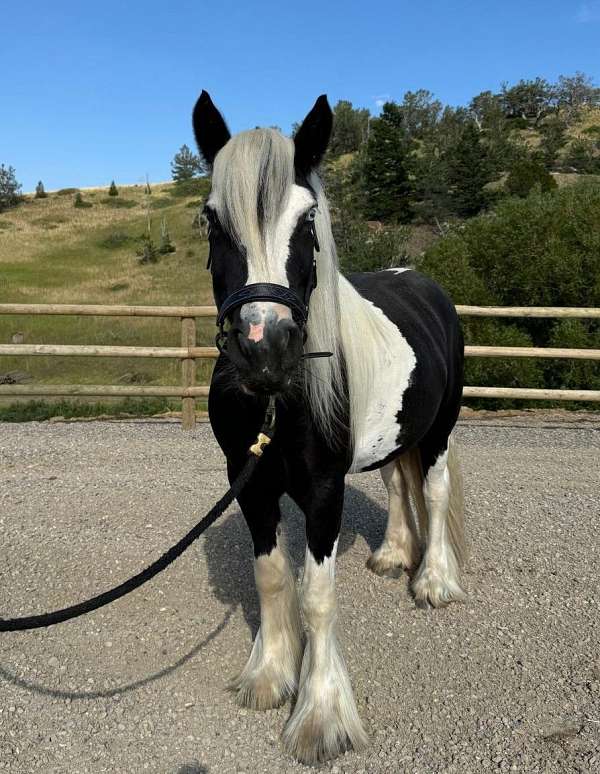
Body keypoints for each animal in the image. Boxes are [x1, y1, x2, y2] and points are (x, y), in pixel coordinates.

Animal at [192, 89, 464, 764]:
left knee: (434, 492)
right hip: (396, 437)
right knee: (398, 483)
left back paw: (433, 581)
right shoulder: (249, 481)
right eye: (212, 220)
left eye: (309, 222)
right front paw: (269, 676)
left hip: (440, 430)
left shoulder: (323, 490)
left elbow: (317, 596)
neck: (278, 402)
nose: (264, 349)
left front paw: (320, 715)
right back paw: (393, 555)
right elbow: (270, 578)